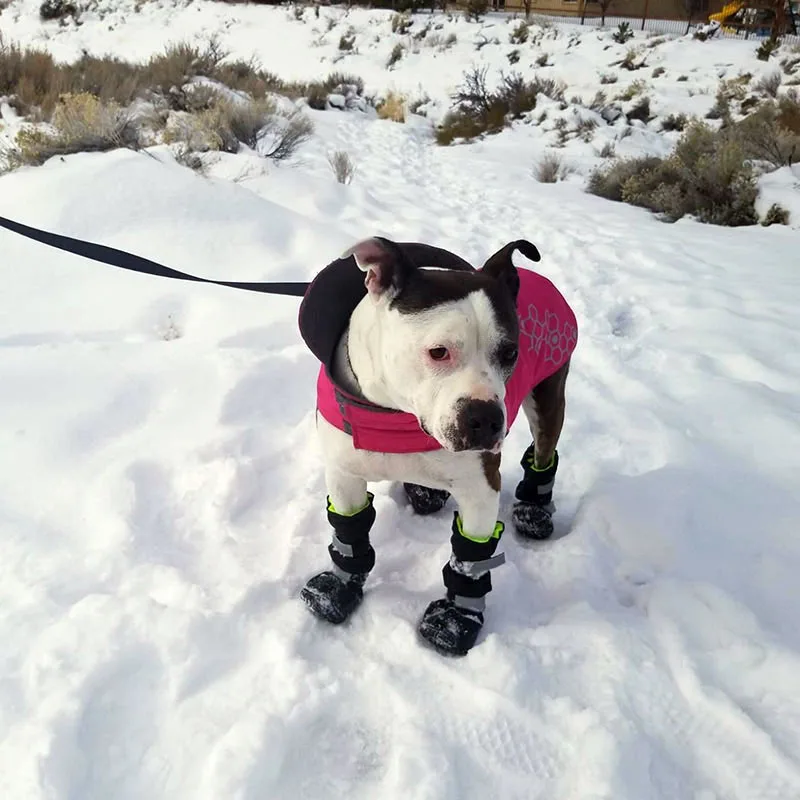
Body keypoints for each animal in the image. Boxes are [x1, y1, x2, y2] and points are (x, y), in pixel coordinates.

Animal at [296, 236, 580, 656]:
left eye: (511, 352)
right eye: (438, 351)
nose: (486, 419)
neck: (395, 417)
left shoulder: (481, 490)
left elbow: (471, 557)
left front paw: (455, 620)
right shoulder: (344, 475)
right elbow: (349, 532)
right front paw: (337, 590)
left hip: (549, 396)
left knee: (545, 448)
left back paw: (534, 510)